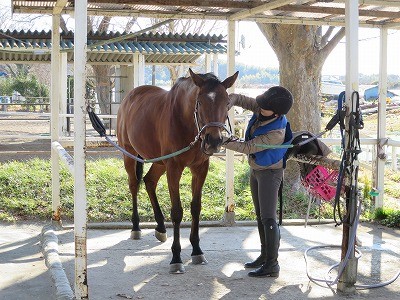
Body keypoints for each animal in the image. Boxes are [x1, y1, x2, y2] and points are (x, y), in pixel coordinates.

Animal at [117, 69, 239, 274]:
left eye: (226, 102)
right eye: (200, 102)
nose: (214, 141)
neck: (185, 122)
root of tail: (129, 97)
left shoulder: (200, 168)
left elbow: (196, 208)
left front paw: (197, 250)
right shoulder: (174, 168)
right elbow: (177, 212)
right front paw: (176, 258)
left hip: (159, 161)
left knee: (149, 181)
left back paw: (160, 227)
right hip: (130, 154)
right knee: (134, 185)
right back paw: (136, 227)